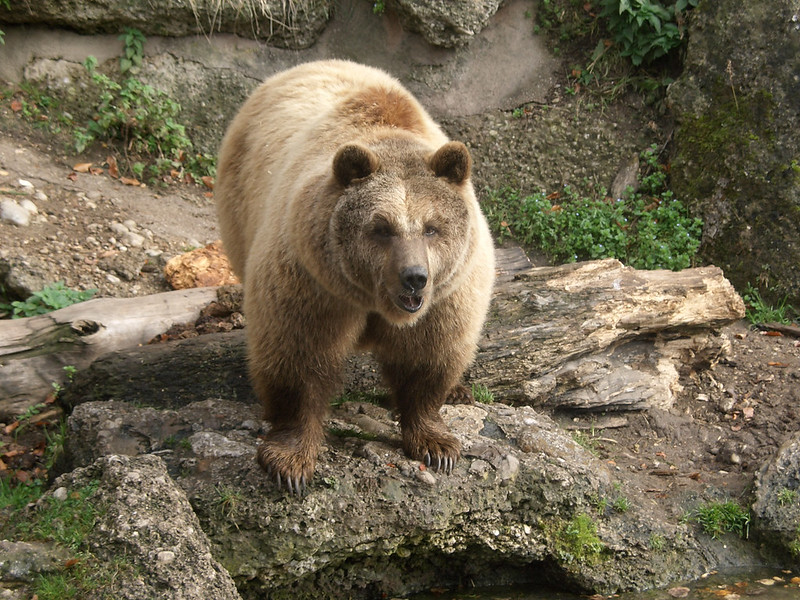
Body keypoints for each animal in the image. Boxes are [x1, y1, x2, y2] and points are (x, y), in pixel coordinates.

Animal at [216, 58, 496, 494]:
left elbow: (428, 359)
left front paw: (437, 444)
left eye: (432, 227)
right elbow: (297, 358)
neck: (372, 302)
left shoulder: (447, 296)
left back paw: (460, 391)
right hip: (241, 204)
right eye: (382, 227)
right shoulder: (312, 283)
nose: (414, 277)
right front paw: (290, 462)